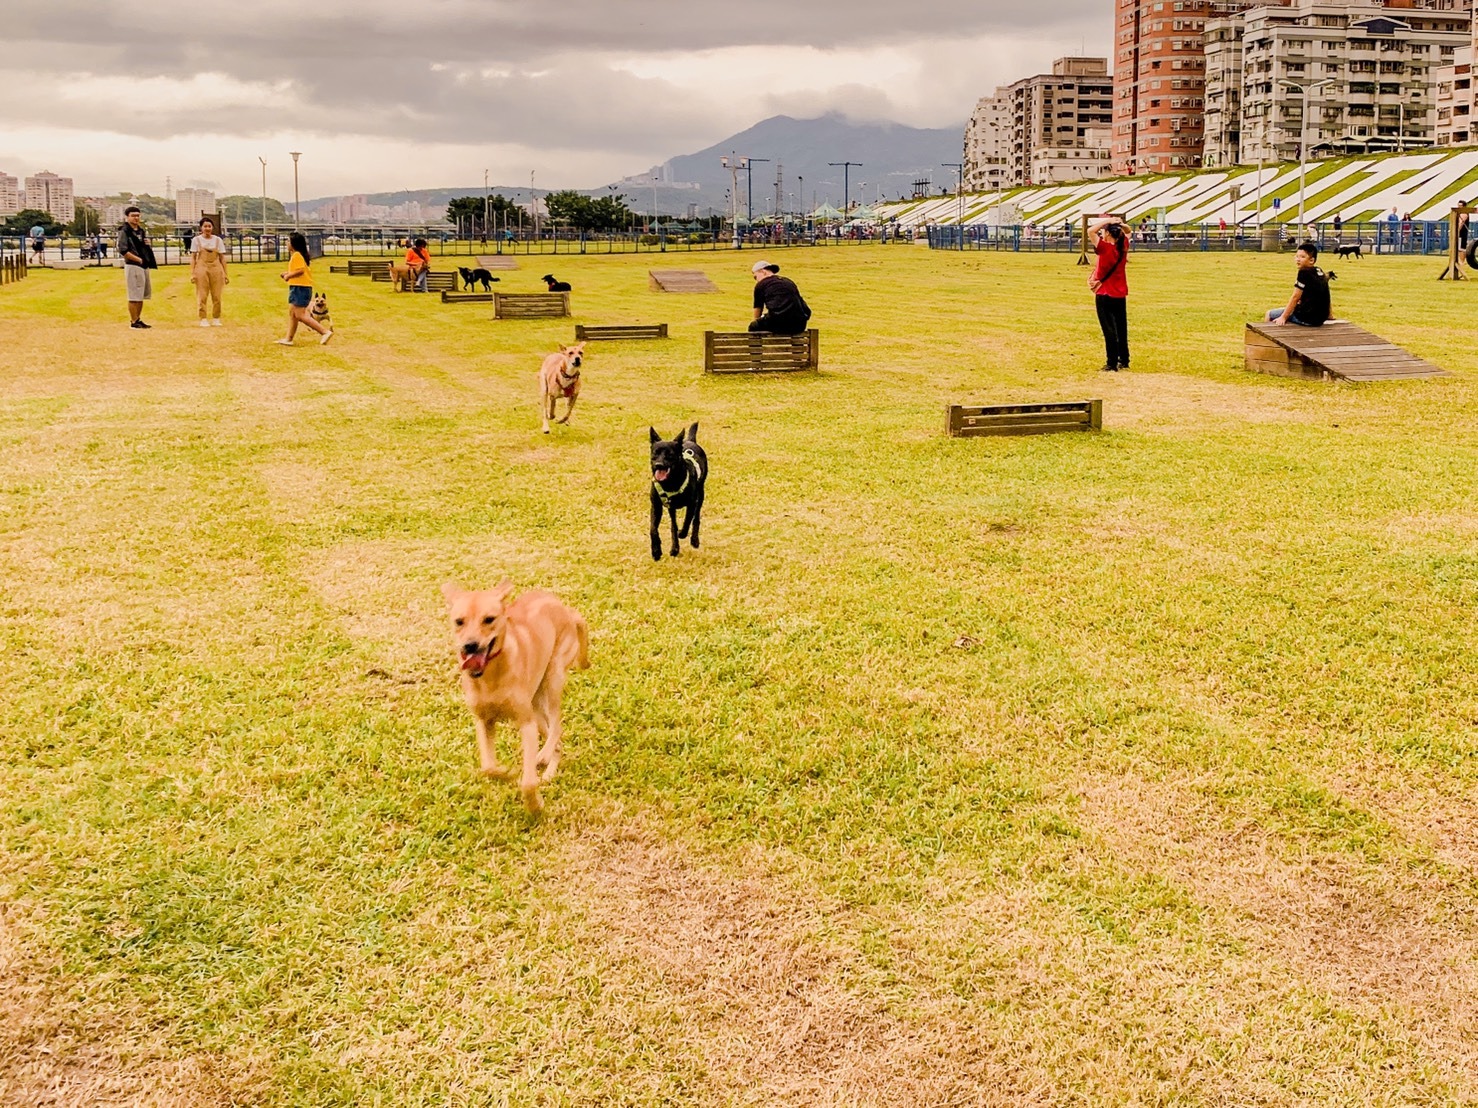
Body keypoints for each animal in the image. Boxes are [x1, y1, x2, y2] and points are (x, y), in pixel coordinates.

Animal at [443, 582, 588, 815]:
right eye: (459, 621)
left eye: (489, 619)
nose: (470, 645)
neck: (490, 676)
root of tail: (566, 610)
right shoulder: (483, 722)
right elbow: (488, 767)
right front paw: (506, 773)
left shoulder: (526, 725)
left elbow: (528, 782)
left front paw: (535, 807)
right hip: (536, 705)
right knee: (555, 738)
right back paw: (549, 770)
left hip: (553, 679)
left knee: (557, 727)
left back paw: (543, 757)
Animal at [650, 425, 706, 564]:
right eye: (655, 453)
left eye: (670, 454)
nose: (658, 465)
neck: (670, 483)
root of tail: (689, 440)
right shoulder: (657, 506)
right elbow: (654, 529)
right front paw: (657, 551)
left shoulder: (691, 503)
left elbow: (687, 520)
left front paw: (682, 534)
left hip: (701, 494)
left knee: (696, 518)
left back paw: (694, 540)